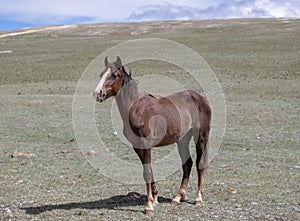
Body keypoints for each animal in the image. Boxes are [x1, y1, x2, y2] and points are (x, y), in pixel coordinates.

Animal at [93, 56, 211, 214]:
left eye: (114, 75)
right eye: (101, 74)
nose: (98, 93)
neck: (137, 109)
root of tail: (200, 98)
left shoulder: (146, 144)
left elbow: (147, 172)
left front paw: (148, 206)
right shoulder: (137, 146)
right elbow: (147, 170)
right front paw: (154, 198)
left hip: (201, 137)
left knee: (200, 164)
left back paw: (198, 199)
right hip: (183, 140)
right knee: (187, 164)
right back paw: (178, 197)